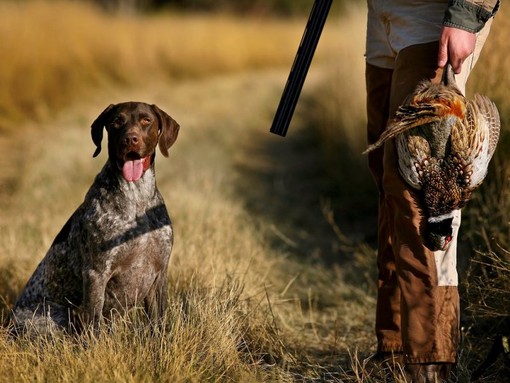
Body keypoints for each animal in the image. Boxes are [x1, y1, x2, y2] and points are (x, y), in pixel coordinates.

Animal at [6, 102, 179, 336]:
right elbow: (94, 326)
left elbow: (159, 323)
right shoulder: (97, 273)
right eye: (116, 121)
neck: (137, 198)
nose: (130, 139)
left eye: (146, 120)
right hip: (58, 316)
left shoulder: (159, 272)